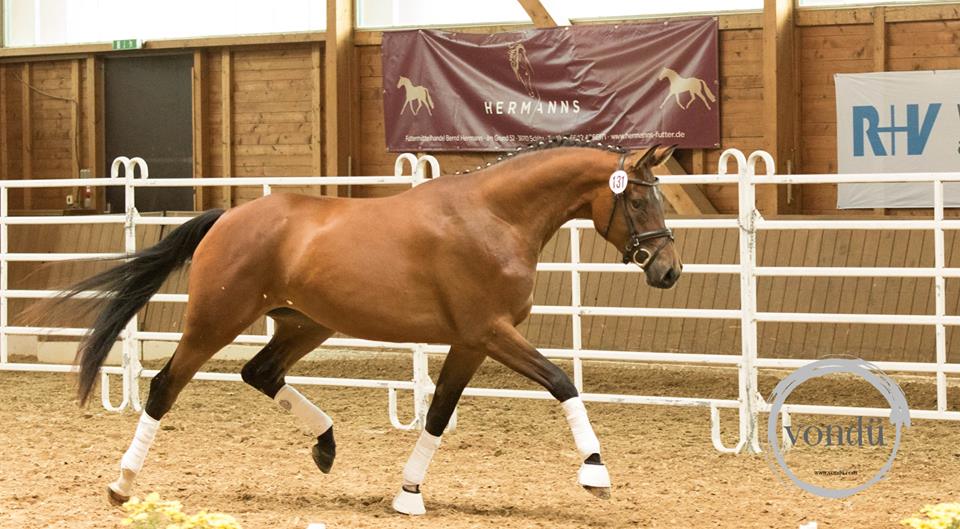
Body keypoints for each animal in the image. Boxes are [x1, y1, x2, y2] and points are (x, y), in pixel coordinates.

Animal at [45, 139, 680, 512]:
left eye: (661, 198)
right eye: (640, 201)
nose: (668, 270)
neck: (493, 217)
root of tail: (228, 217)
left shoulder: (470, 342)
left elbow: (439, 413)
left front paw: (408, 494)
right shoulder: (492, 332)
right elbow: (561, 383)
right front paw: (595, 472)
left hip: (304, 324)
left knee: (260, 373)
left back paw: (326, 445)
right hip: (215, 321)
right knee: (164, 387)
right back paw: (122, 484)